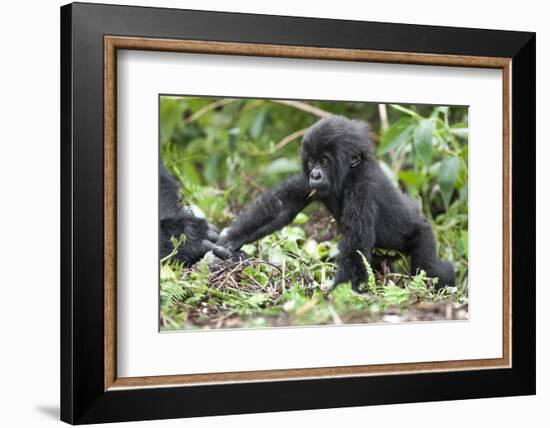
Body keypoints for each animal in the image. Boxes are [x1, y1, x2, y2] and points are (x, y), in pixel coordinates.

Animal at [213, 116, 454, 290]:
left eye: (325, 161)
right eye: (312, 162)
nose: (315, 175)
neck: (348, 174)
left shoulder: (362, 188)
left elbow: (356, 243)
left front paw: (336, 293)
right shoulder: (307, 182)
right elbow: (281, 208)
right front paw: (229, 240)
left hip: (423, 234)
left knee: (429, 268)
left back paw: (447, 278)